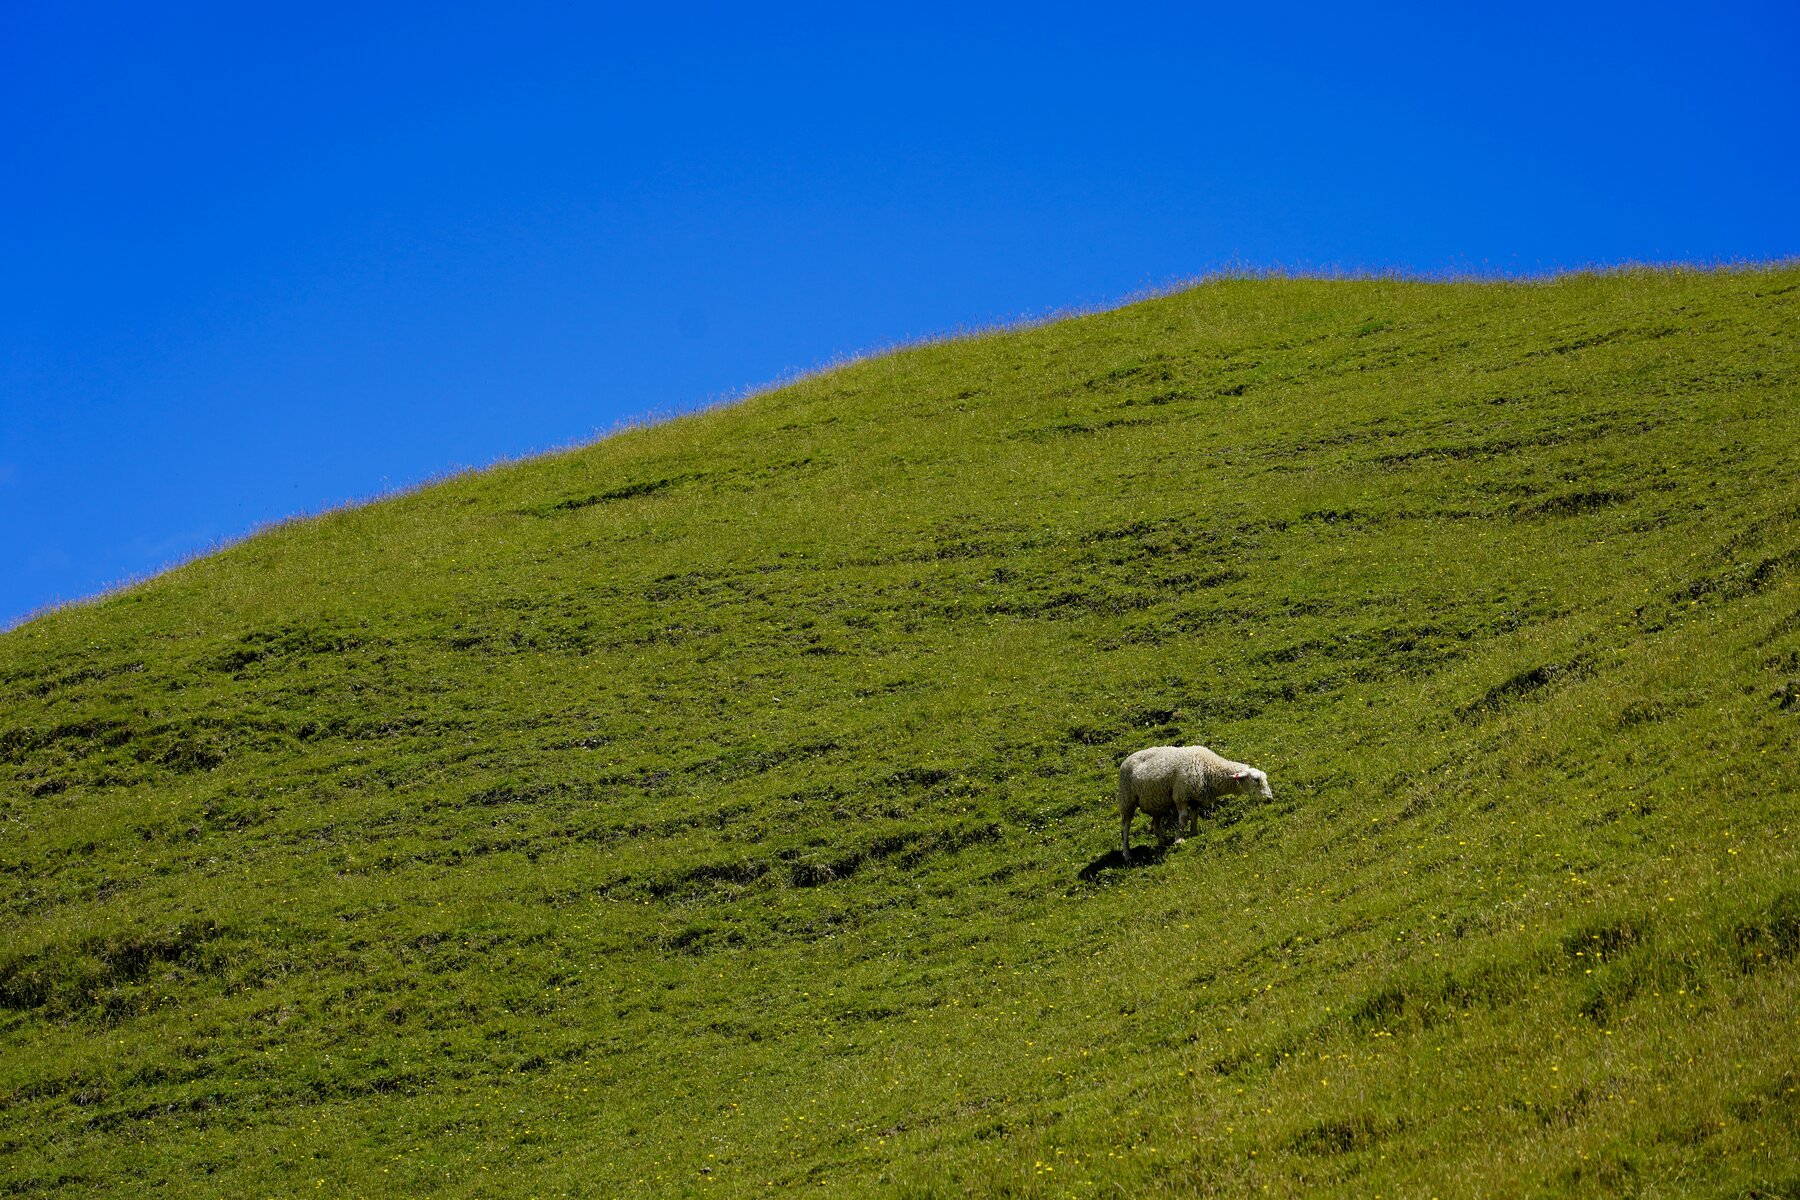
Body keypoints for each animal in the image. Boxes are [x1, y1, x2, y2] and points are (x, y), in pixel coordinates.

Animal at [1117, 745, 1271, 861]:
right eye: (1256, 780)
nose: (1269, 799)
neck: (1208, 767)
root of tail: (1125, 760)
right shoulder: (1181, 796)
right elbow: (1184, 818)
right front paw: (1179, 839)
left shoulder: (1195, 799)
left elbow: (1195, 816)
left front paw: (1193, 832)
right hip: (1127, 799)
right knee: (1125, 827)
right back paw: (1127, 853)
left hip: (1157, 801)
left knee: (1156, 824)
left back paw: (1163, 840)